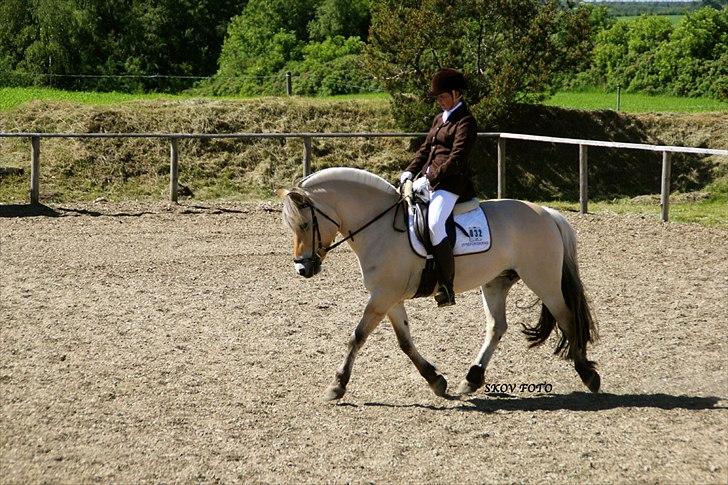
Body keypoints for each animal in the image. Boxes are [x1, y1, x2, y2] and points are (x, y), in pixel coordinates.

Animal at [278, 166, 596, 400]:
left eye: (305, 224)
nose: (302, 269)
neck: (379, 228)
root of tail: (547, 213)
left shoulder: (382, 296)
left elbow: (357, 336)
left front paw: (337, 385)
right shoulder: (390, 298)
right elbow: (405, 342)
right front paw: (436, 380)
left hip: (543, 279)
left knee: (567, 317)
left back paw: (588, 373)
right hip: (496, 282)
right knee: (497, 327)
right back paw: (471, 378)